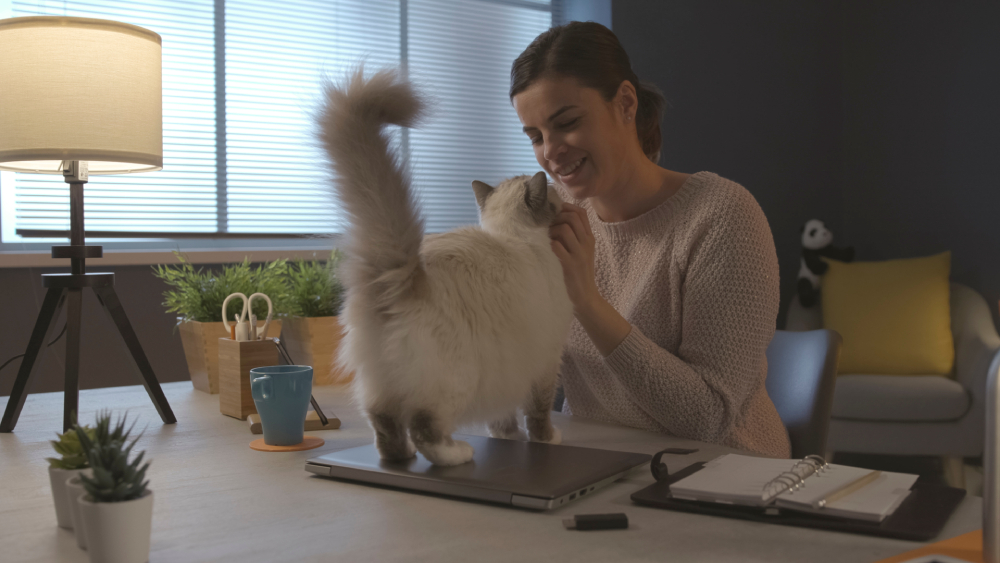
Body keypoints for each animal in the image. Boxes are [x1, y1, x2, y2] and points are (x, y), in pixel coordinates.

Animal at [316, 68, 576, 468]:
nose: (563, 194)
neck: (512, 235)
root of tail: (404, 276)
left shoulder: (512, 370)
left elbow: (503, 418)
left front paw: (507, 438)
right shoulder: (545, 362)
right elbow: (538, 413)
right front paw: (545, 440)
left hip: (381, 388)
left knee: (386, 427)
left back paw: (400, 458)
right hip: (456, 381)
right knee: (424, 428)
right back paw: (457, 454)